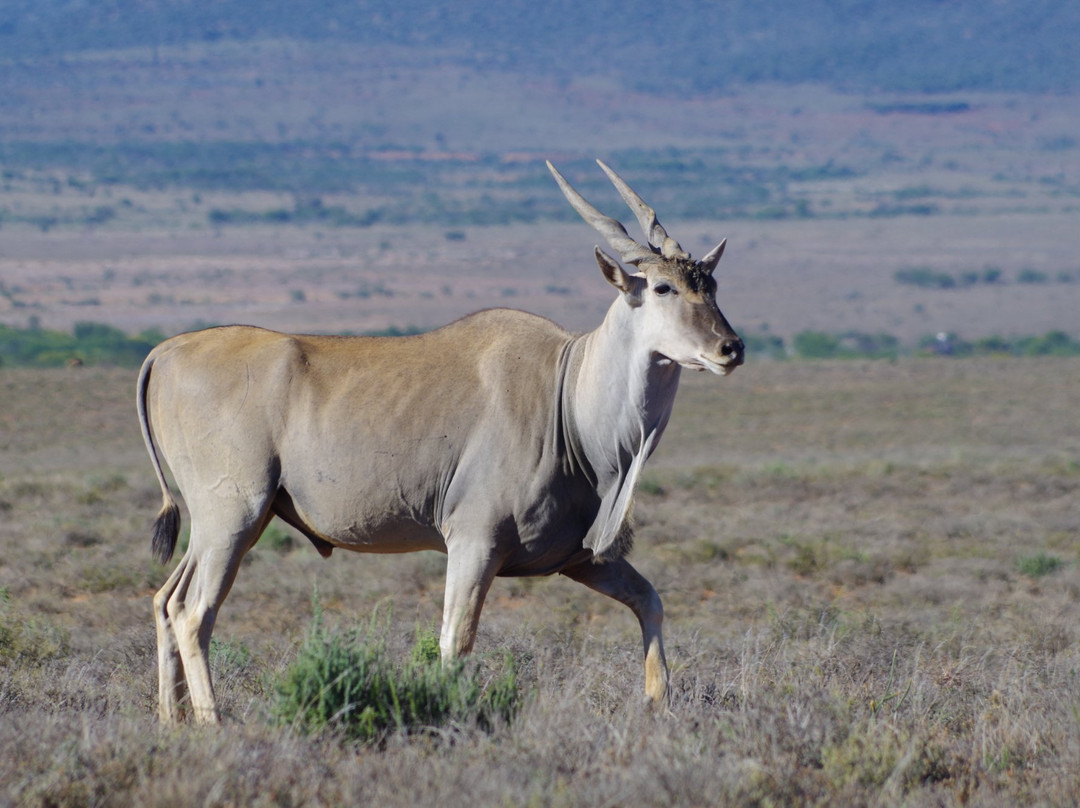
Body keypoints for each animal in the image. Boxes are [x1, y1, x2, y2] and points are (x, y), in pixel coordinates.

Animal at [141, 160, 743, 721]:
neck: (568, 399)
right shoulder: (474, 542)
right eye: (664, 287)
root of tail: (166, 351)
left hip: (222, 524)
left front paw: (659, 702)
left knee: (166, 600)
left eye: (711, 286)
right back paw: (212, 723)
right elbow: (456, 643)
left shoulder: (579, 558)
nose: (730, 347)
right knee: (194, 613)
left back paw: (171, 721)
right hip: (233, 516)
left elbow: (650, 600)